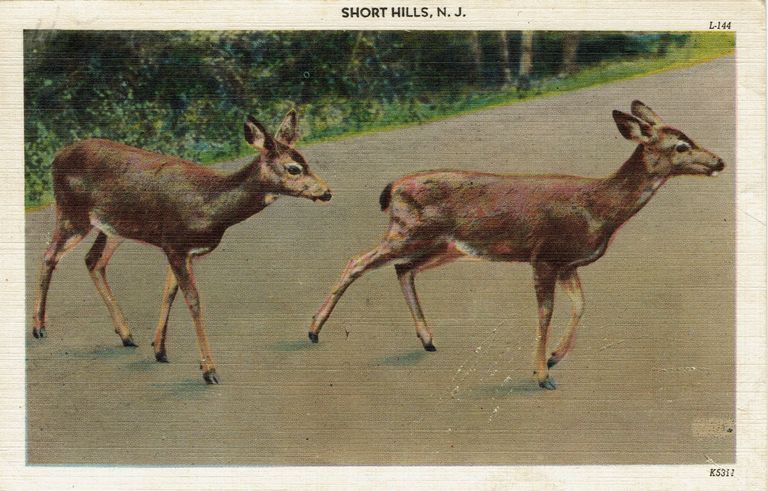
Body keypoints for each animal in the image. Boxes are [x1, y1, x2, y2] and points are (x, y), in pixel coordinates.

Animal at [32, 110, 332, 384]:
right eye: (294, 168)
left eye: (306, 162)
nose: (327, 192)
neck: (211, 205)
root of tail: (57, 157)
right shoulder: (175, 246)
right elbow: (193, 301)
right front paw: (209, 370)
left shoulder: (182, 251)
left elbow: (169, 293)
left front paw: (160, 349)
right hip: (72, 213)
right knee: (49, 255)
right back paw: (38, 328)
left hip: (112, 229)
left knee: (92, 261)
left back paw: (127, 335)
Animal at [308, 101, 725, 390]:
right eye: (681, 146)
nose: (719, 162)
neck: (599, 208)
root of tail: (391, 187)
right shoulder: (545, 256)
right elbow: (545, 313)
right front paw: (542, 374)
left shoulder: (568, 263)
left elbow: (581, 306)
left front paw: (555, 358)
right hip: (409, 232)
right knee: (357, 261)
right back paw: (313, 330)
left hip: (444, 245)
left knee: (402, 269)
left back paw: (427, 339)